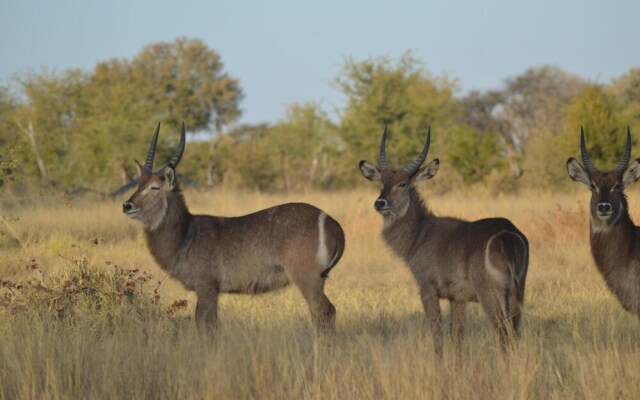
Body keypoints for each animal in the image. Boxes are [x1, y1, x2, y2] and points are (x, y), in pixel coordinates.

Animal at [124, 122, 344, 334]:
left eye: (154, 187)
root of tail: (332, 222)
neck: (185, 235)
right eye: (138, 184)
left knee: (325, 311)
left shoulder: (206, 286)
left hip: (306, 277)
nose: (127, 205)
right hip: (319, 279)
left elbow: (207, 324)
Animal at [360, 126, 528, 354]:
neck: (420, 234)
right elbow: (456, 337)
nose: (380, 203)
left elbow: (438, 336)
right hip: (517, 292)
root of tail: (507, 233)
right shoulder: (457, 298)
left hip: (490, 293)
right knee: (514, 333)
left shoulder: (427, 289)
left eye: (402, 183)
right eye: (382, 182)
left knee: (503, 335)